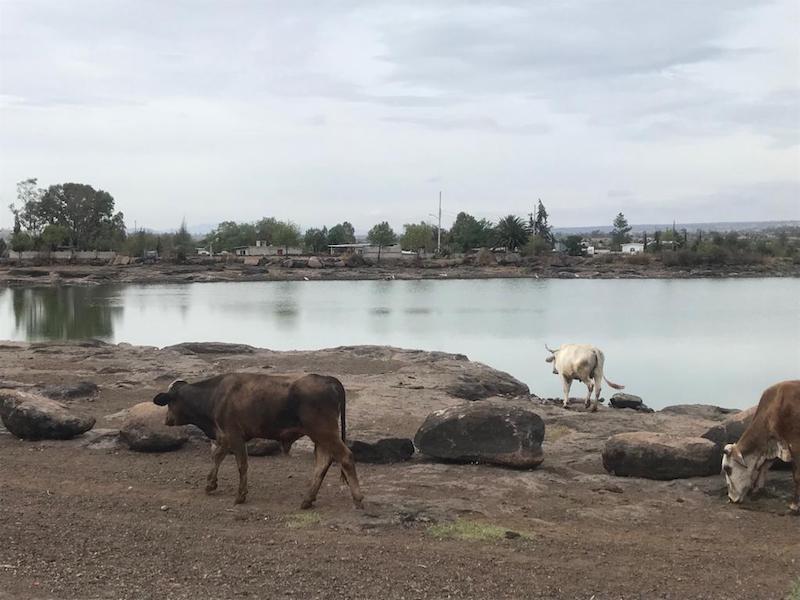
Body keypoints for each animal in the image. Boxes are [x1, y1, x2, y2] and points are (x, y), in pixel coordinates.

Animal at [152, 372, 362, 508]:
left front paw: (240, 495)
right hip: (321, 436)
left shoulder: (233, 435)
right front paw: (211, 484)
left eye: (169, 402)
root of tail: (327, 379)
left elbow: (241, 464)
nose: (166, 420)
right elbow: (217, 457)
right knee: (323, 463)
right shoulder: (225, 436)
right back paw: (307, 500)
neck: (216, 395)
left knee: (345, 457)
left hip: (325, 432)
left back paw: (358, 498)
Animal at [720, 380, 800, 510]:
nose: (731, 499)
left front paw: (794, 505)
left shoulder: (795, 444)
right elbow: (764, 468)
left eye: (727, 469)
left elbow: (796, 475)